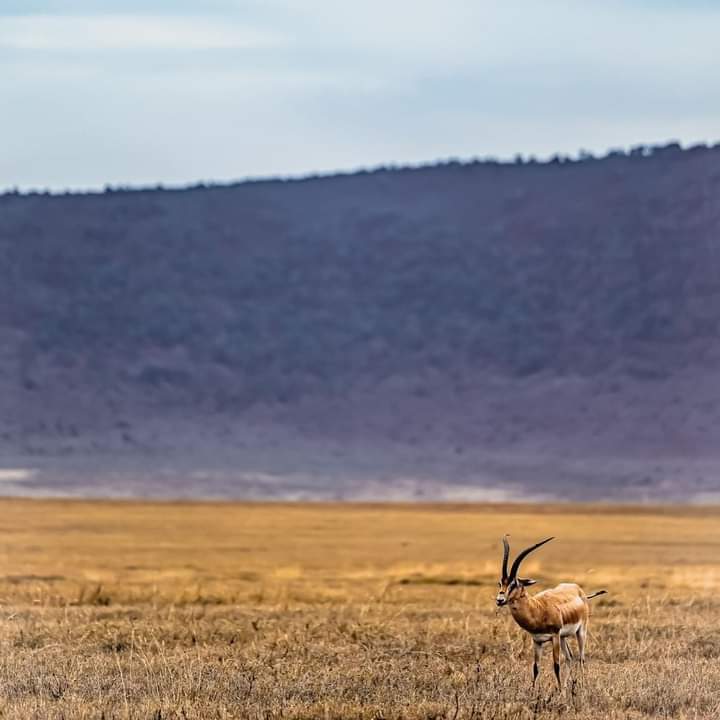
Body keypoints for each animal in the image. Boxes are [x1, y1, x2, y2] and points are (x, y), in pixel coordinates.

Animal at [495, 536, 606, 689]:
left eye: (514, 584)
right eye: (500, 583)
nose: (500, 600)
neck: (538, 609)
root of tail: (580, 591)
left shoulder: (554, 636)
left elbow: (556, 665)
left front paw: (558, 691)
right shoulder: (537, 641)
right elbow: (535, 667)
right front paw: (534, 690)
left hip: (580, 631)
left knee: (581, 658)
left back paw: (582, 685)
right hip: (563, 637)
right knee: (570, 657)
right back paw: (566, 686)